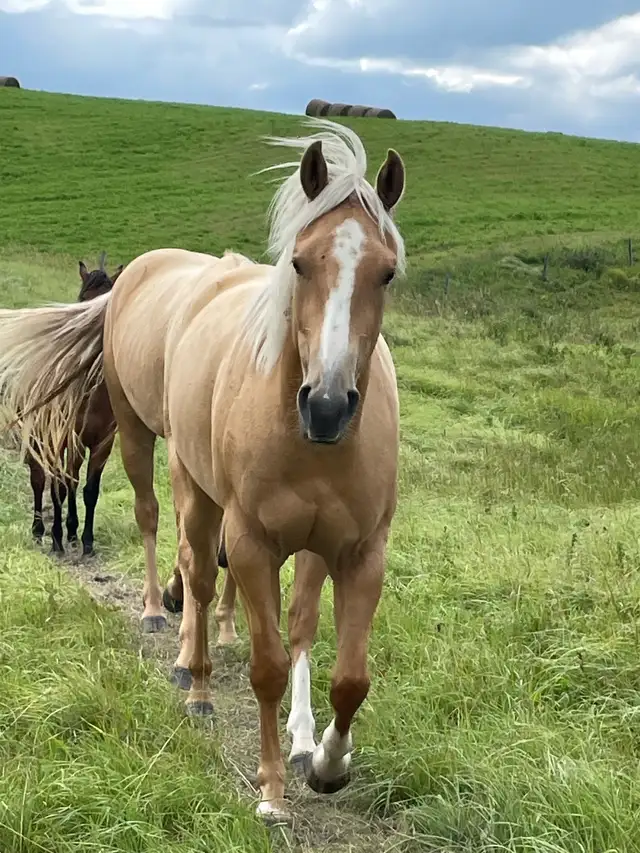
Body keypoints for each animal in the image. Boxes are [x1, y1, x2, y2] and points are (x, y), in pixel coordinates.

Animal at [22, 253, 122, 557]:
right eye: (82, 299)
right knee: (40, 478)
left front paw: (85, 539)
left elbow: (90, 489)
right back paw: (40, 530)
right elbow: (64, 484)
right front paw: (58, 537)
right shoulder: (71, 438)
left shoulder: (103, 442)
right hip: (41, 437)